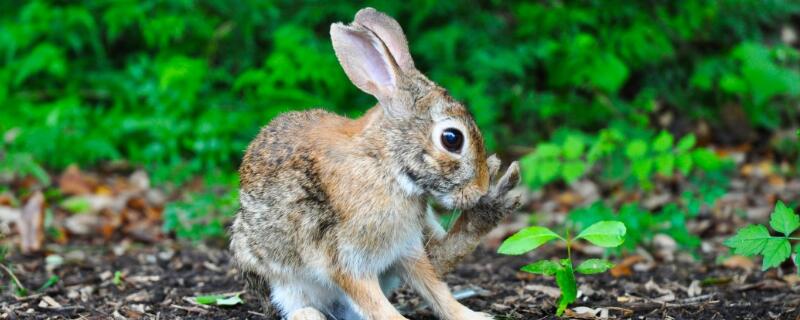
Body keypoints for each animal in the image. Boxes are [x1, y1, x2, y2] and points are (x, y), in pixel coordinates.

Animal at [228, 7, 520, 320]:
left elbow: (435, 289)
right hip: (274, 275)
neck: (386, 164)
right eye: (452, 138)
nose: (479, 188)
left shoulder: (406, 248)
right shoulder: (345, 258)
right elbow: (376, 303)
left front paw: (471, 316)